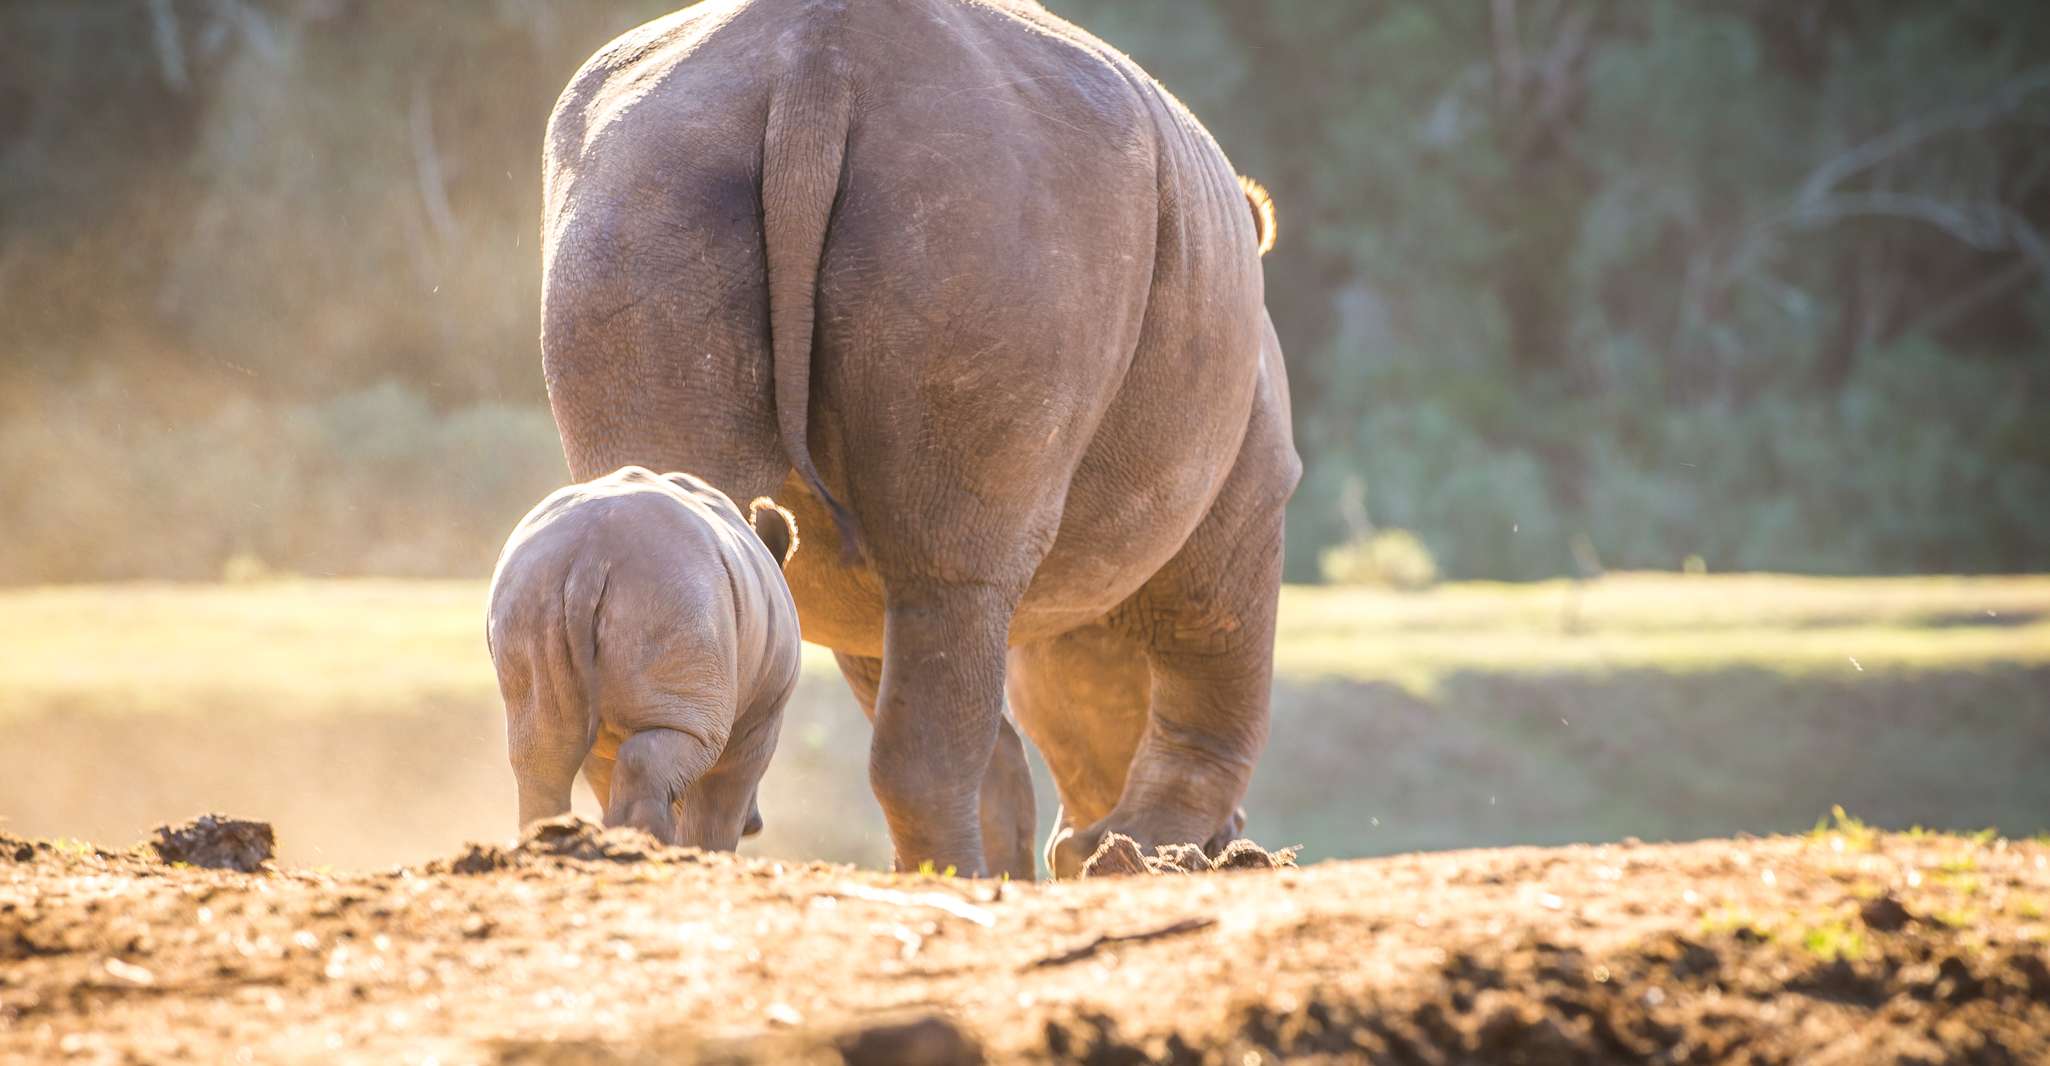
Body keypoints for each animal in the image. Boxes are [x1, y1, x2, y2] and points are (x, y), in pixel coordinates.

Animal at [483, 467, 795, 848]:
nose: (756, 824)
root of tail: (589, 554)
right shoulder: (761, 717)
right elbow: (721, 797)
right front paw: (708, 850)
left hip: (532, 590)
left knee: (543, 754)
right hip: (673, 594)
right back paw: (648, 844)